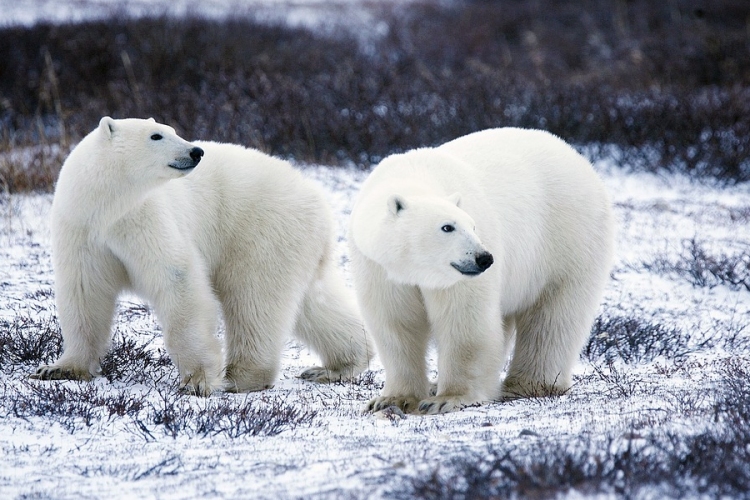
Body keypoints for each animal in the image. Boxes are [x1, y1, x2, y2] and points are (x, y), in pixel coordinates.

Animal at [32, 116, 374, 394]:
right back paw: (337, 366)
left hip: (262, 229)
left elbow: (177, 279)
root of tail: (318, 199)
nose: (196, 151)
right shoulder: (82, 229)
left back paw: (241, 377)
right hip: (296, 243)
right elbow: (84, 292)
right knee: (312, 302)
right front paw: (59, 368)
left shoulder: (145, 218)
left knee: (254, 298)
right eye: (156, 135)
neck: (107, 206)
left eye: (173, 130)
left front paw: (197, 381)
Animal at [350, 126, 612, 414]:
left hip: (567, 239)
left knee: (553, 317)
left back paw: (528, 384)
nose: (484, 258)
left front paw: (446, 399)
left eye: (472, 226)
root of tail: (578, 158)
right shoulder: (379, 268)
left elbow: (465, 321)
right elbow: (396, 324)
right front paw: (391, 399)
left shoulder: (459, 277)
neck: (414, 175)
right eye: (447, 227)